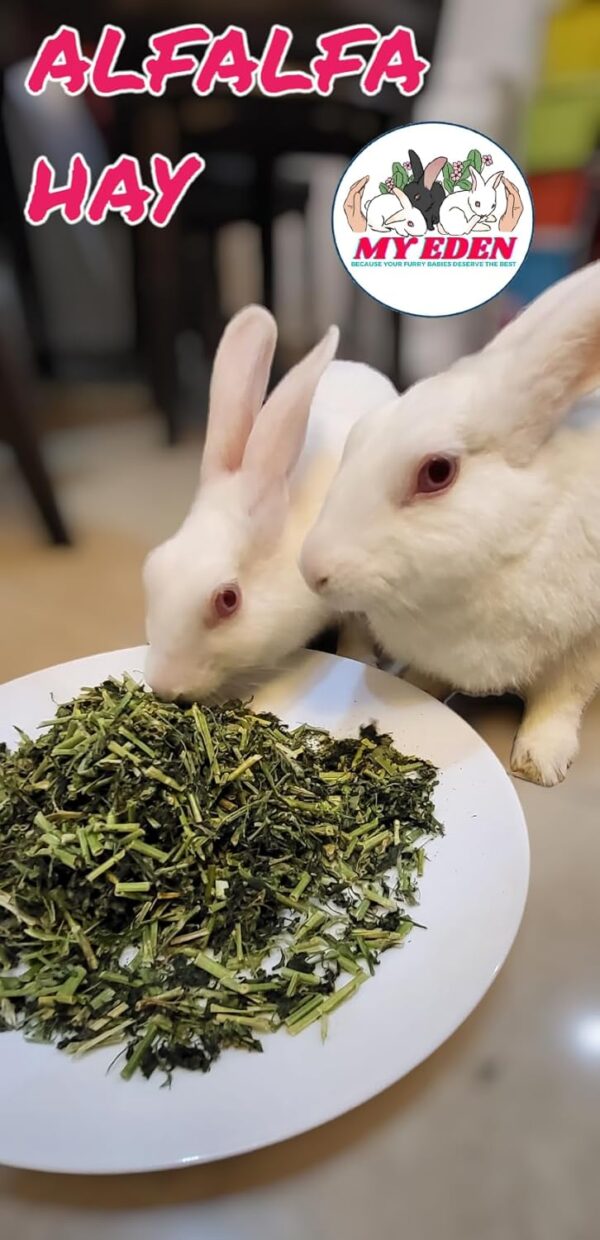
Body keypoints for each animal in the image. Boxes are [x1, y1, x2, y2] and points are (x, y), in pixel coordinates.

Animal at [300, 261, 600, 787]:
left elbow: (558, 702)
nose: (311, 569)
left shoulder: (582, 649)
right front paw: (411, 688)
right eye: (359, 435)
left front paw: (538, 764)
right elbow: (431, 679)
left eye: (437, 472)